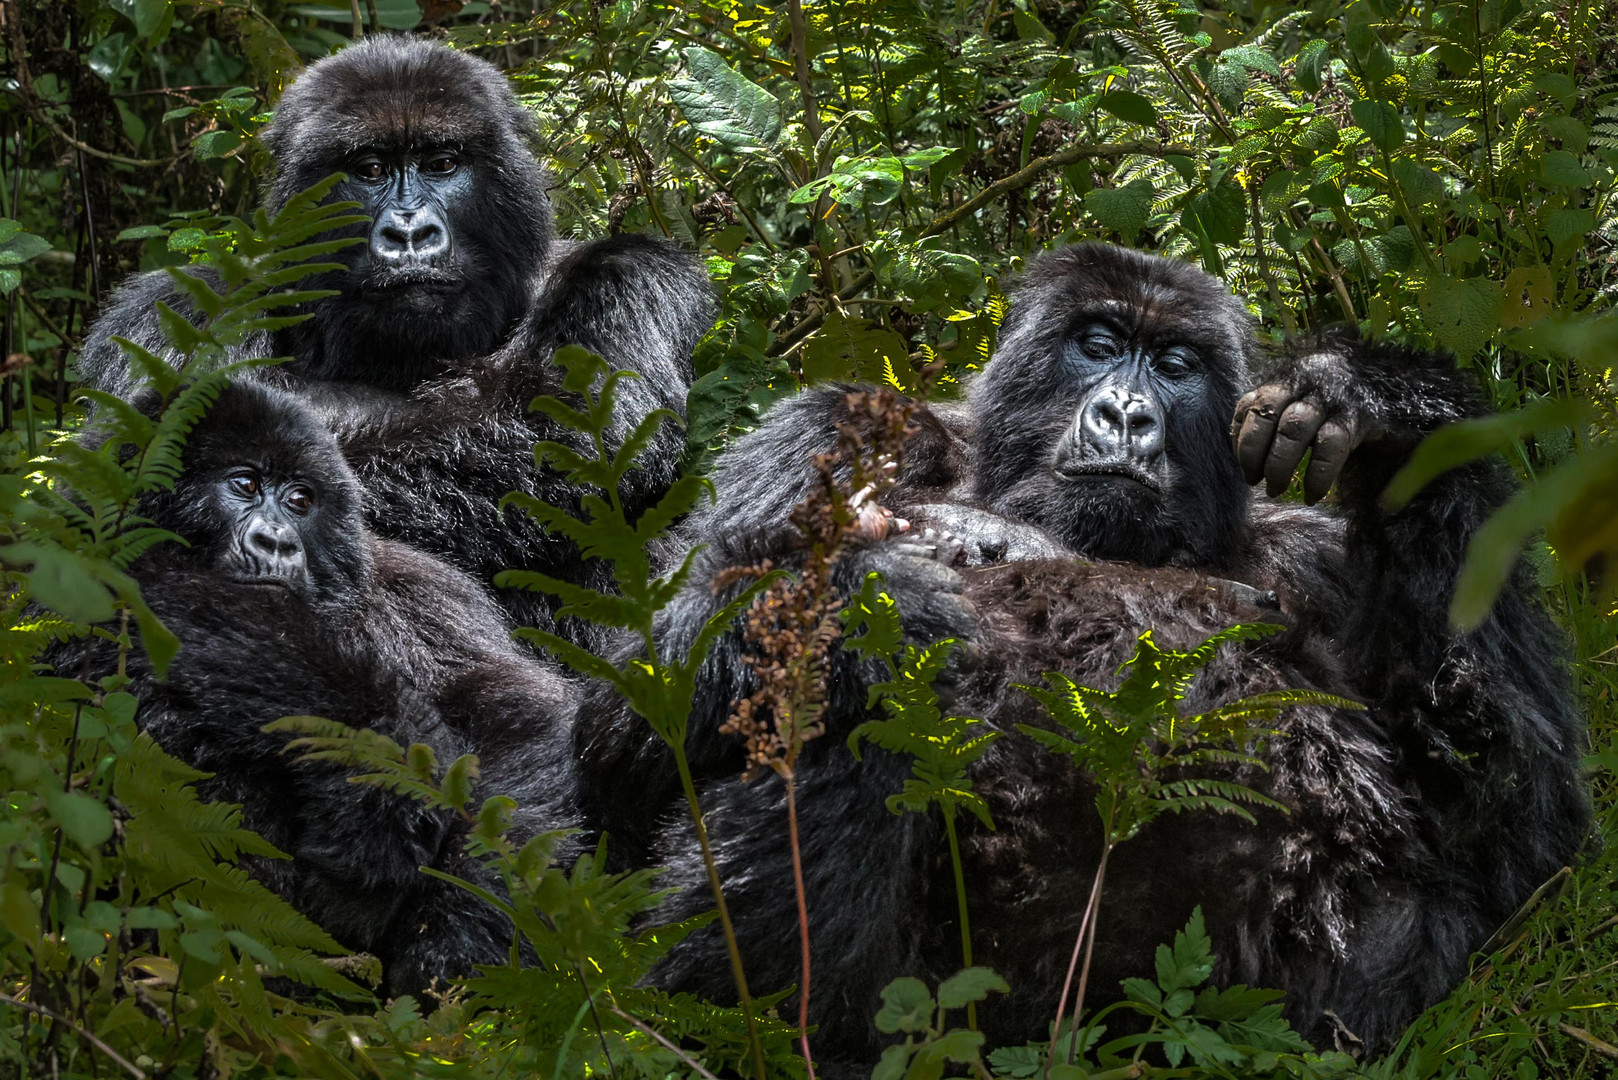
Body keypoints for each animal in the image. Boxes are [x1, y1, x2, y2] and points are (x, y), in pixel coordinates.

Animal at [63, 383, 582, 1003]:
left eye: (300, 500)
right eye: (243, 485)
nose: (277, 542)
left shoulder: (426, 589)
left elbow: (508, 711)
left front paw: (459, 941)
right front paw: (382, 782)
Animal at [576, 244, 1585, 1062]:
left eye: (1175, 367)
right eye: (1097, 345)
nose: (1127, 414)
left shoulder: (1313, 555)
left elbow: (1513, 826)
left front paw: (1376, 399)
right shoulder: (824, 430)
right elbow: (624, 733)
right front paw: (876, 597)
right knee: (854, 705)